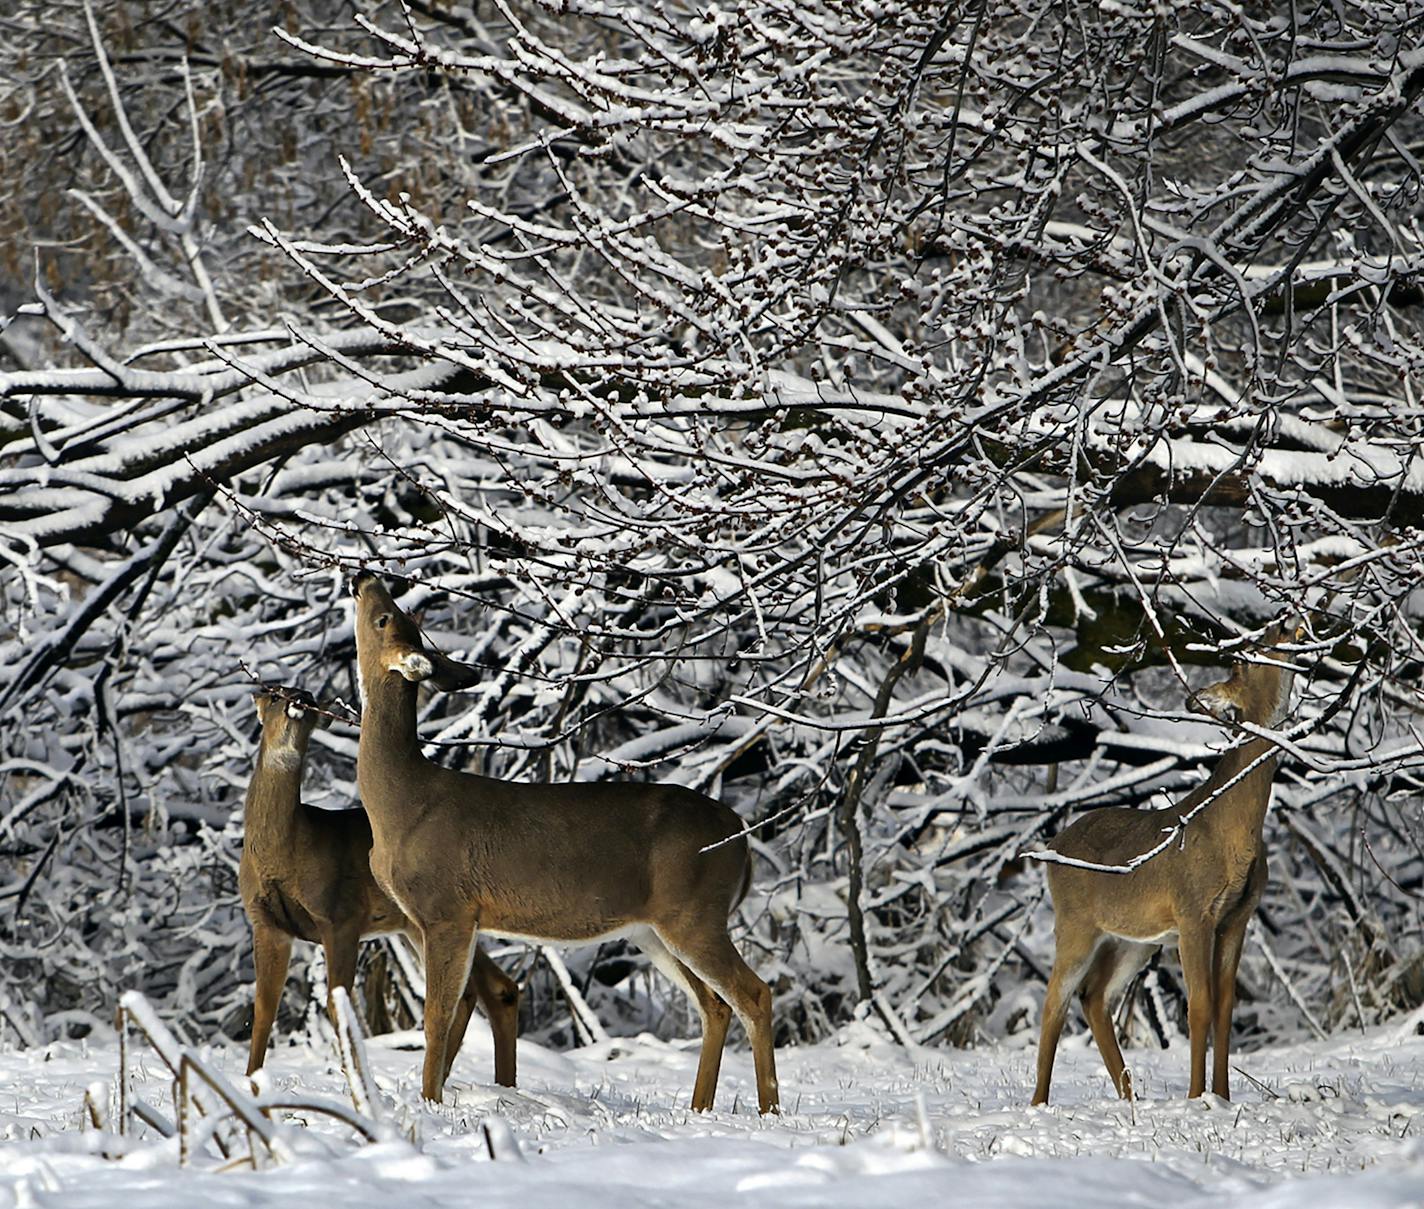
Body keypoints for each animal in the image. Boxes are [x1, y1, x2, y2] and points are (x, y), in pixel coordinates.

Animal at [236, 677, 521, 1082]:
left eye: (309, 698)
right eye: (275, 694)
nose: (301, 700)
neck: (286, 851)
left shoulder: (340, 914)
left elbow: (338, 1004)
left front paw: (355, 1079)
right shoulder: (266, 922)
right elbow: (264, 1009)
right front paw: (250, 1080)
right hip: (419, 924)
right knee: (490, 989)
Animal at [351, 575, 786, 1110]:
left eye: (384, 618)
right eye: (397, 615)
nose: (364, 578)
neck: (401, 803)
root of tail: (741, 837)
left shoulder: (447, 909)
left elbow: (437, 1016)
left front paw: (430, 1101)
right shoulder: (437, 917)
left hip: (696, 911)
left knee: (754, 994)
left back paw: (767, 1110)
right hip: (655, 928)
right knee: (714, 1005)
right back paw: (699, 1108)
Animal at [1036, 626, 1304, 1110]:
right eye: (1244, 661)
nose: (1281, 625)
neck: (1232, 832)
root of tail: (1051, 847)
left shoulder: (1238, 917)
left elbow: (1224, 1006)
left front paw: (1223, 1096)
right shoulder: (1193, 909)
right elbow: (1199, 1005)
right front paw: (1198, 1097)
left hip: (1133, 940)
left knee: (1095, 997)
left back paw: (1130, 1097)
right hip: (1075, 922)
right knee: (1055, 1001)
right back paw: (1040, 1103)